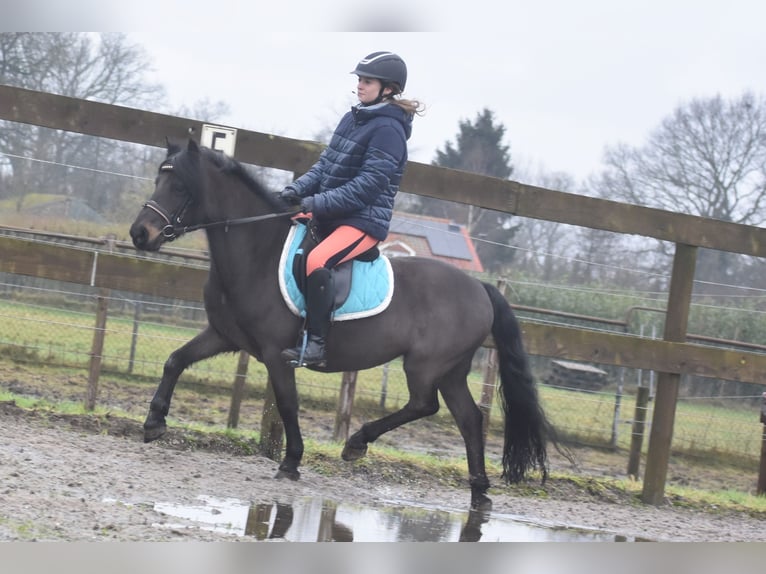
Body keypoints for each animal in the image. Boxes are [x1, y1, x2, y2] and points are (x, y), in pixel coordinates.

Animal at [130, 141, 552, 512]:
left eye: (180, 186)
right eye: (157, 179)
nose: (140, 234)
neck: (257, 252)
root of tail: (480, 288)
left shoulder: (276, 353)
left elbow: (287, 403)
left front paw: (291, 462)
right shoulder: (223, 336)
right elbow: (175, 360)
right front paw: (153, 422)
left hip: (426, 365)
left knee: (424, 404)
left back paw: (357, 443)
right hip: (452, 370)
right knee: (468, 419)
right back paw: (479, 492)